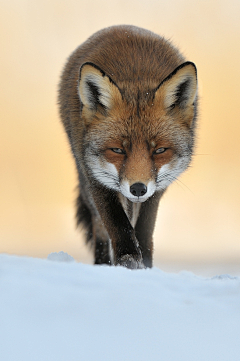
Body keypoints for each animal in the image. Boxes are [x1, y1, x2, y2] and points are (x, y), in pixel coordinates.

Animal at [58, 24, 197, 268]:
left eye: (159, 150)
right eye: (117, 150)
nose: (138, 188)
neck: (137, 78)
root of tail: (121, 27)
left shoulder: (158, 187)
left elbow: (143, 229)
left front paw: (145, 267)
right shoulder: (96, 177)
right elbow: (118, 225)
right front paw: (127, 261)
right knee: (100, 227)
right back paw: (102, 264)